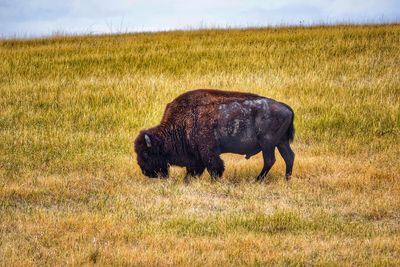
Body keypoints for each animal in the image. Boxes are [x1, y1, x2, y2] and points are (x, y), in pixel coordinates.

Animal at [134, 89, 294, 183]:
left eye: (146, 153)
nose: (145, 172)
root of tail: (287, 108)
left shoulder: (208, 151)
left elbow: (214, 166)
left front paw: (214, 181)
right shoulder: (196, 155)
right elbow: (194, 169)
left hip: (268, 144)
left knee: (270, 160)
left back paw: (258, 180)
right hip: (281, 142)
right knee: (289, 157)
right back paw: (286, 179)